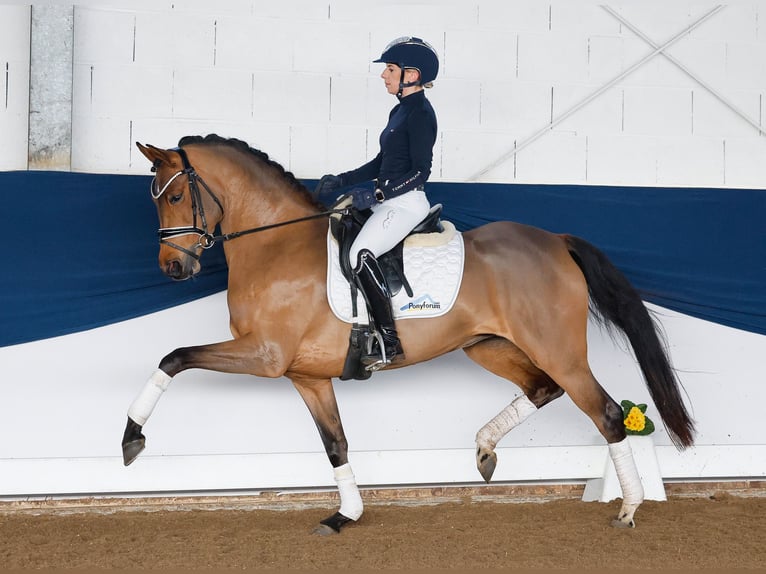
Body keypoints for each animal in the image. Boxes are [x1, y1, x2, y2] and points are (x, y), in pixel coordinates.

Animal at [121, 134, 696, 536]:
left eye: (177, 195)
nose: (173, 268)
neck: (274, 244)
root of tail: (554, 240)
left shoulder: (264, 355)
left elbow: (174, 357)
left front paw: (132, 439)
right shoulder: (306, 375)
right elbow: (335, 443)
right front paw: (346, 514)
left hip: (558, 351)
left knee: (606, 413)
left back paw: (627, 509)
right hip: (489, 346)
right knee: (541, 389)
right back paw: (485, 450)